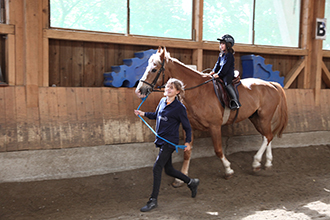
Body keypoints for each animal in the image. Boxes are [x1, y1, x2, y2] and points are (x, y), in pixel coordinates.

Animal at [135, 46, 288, 186]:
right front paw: (180, 178)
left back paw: (256, 163)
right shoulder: (188, 127)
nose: (139, 90)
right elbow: (187, 152)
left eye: (154, 69)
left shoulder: (214, 126)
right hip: (256, 118)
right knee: (267, 137)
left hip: (264, 117)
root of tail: (270, 84)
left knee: (267, 136)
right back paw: (267, 163)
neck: (198, 92)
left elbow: (218, 150)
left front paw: (228, 170)